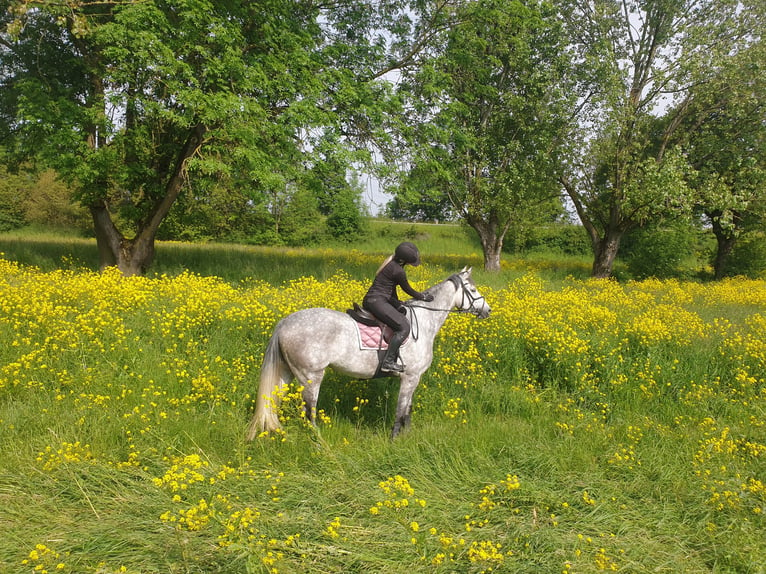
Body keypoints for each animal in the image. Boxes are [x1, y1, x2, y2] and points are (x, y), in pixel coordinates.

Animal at [249, 266, 496, 440]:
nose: (488, 310)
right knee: (308, 413)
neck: (425, 321)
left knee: (274, 403)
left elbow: (408, 410)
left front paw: (407, 437)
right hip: (310, 377)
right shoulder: (410, 377)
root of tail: (285, 322)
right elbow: (401, 411)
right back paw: (319, 442)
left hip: (287, 374)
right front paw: (395, 440)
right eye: (473, 290)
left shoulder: (414, 378)